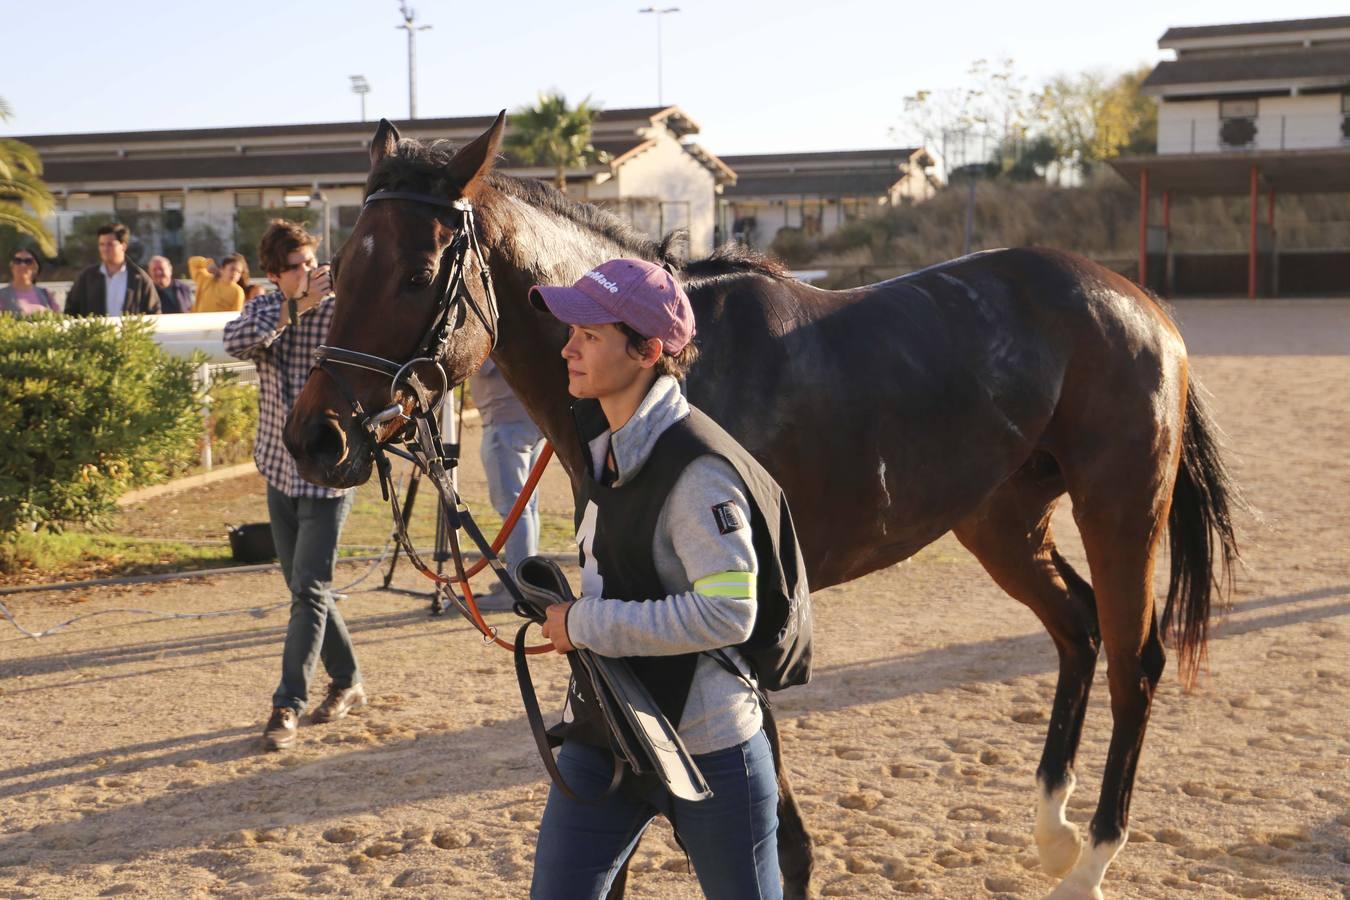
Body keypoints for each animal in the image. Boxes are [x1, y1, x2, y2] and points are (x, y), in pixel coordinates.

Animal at [282, 118, 1236, 900]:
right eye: (339, 269)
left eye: (415, 274)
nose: (315, 438)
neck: (678, 370)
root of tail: (1140, 301)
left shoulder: (744, 620)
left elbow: (780, 841)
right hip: (1001, 520)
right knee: (1075, 629)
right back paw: (1052, 832)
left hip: (1120, 507)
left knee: (1132, 660)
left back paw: (1092, 860)